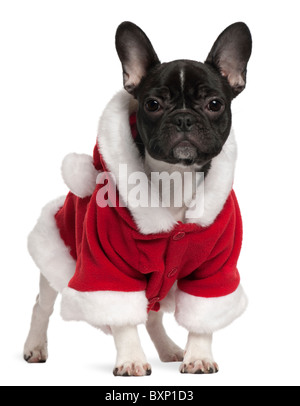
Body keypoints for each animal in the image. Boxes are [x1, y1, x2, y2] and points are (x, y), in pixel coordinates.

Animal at [24, 21, 252, 378]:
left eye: (215, 104)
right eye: (153, 104)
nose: (183, 118)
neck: (174, 178)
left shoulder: (215, 269)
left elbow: (203, 315)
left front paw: (198, 355)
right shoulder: (107, 267)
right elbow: (122, 317)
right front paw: (131, 358)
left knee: (153, 316)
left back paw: (169, 348)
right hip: (57, 256)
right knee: (41, 305)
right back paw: (34, 346)